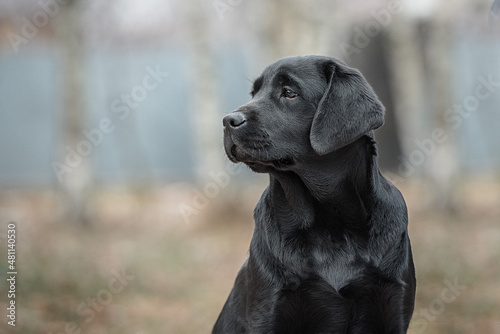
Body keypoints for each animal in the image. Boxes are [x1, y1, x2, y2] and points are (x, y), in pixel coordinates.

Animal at [214, 55, 414, 334]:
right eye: (254, 93)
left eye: (289, 92)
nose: (227, 121)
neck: (331, 225)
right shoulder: (268, 308)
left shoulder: (392, 305)